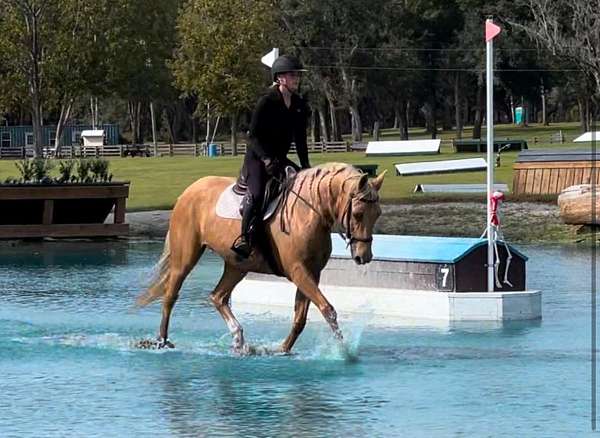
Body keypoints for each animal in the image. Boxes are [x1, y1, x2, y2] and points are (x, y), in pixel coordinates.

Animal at [137, 163, 384, 354]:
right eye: (358, 214)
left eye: (378, 214)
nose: (364, 256)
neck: (308, 212)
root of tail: (189, 191)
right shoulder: (299, 271)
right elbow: (327, 309)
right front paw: (345, 352)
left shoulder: (311, 273)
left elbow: (300, 318)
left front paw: (282, 350)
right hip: (186, 257)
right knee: (171, 295)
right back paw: (162, 342)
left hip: (237, 265)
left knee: (218, 297)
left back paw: (240, 341)